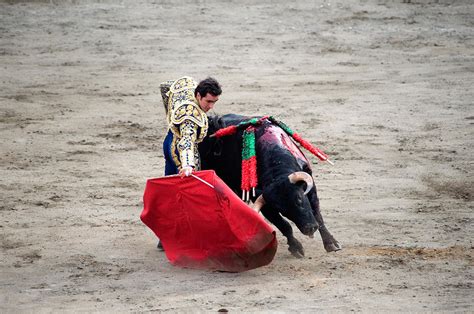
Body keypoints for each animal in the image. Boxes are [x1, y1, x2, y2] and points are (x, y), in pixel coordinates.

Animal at [199, 114, 340, 258]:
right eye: (282, 210)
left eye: (299, 199)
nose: (309, 228)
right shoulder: (264, 201)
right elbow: (284, 225)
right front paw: (296, 248)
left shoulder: (309, 184)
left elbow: (317, 213)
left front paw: (331, 243)